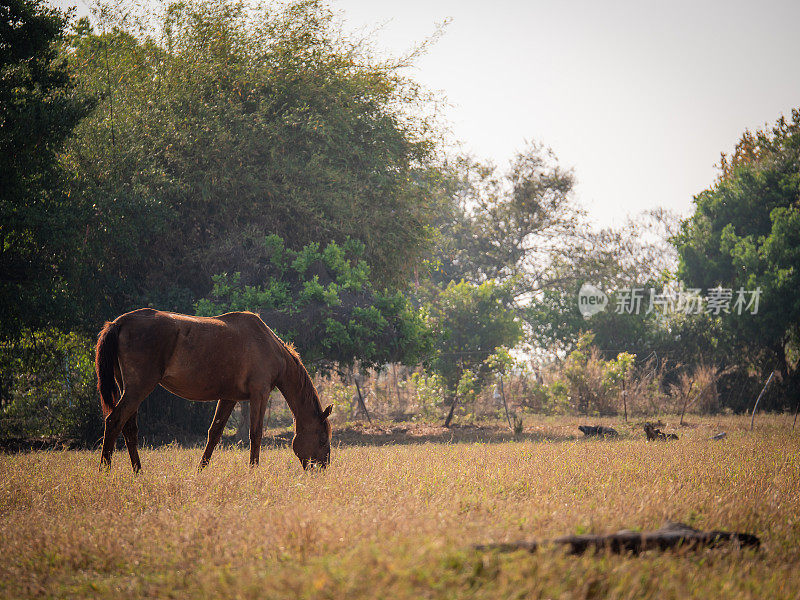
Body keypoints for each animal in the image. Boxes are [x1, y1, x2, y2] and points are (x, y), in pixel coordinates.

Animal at [94, 310, 332, 474]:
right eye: (322, 439)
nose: (322, 469)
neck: (269, 346)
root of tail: (119, 323)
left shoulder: (228, 398)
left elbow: (214, 433)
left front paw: (201, 470)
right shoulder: (260, 394)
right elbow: (255, 434)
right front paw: (253, 471)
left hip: (129, 388)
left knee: (129, 429)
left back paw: (138, 472)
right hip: (139, 387)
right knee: (114, 421)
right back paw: (105, 470)